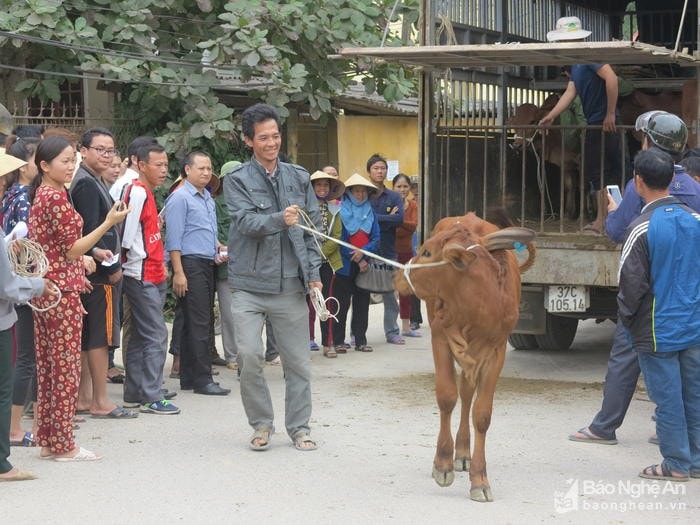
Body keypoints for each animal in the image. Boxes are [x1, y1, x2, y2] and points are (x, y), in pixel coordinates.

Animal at [394, 212, 536, 500]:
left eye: (427, 252)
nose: (398, 274)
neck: (478, 304)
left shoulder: (495, 352)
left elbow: (482, 414)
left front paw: (480, 479)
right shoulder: (440, 338)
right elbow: (447, 397)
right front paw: (442, 464)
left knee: (468, 394)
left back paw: (462, 452)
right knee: (459, 395)